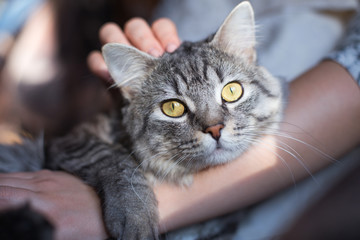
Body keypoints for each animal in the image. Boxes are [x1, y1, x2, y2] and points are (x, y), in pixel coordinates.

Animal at [45, 1, 286, 238]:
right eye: (173, 108)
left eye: (232, 91)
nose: (215, 129)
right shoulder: (70, 140)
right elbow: (114, 161)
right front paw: (135, 217)